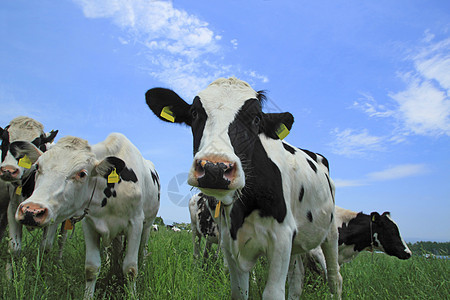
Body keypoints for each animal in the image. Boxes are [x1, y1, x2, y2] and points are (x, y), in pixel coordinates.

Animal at [0, 116, 59, 262]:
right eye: (4, 139)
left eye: (36, 142)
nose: (8, 170)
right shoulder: (13, 208)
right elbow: (14, 249)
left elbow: (45, 247)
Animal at [12, 134, 161, 300]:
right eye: (38, 166)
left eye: (82, 173)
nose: (31, 211)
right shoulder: (89, 224)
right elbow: (91, 268)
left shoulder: (135, 223)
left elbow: (130, 269)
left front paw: (132, 294)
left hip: (147, 226)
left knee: (143, 251)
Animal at [146, 77, 342, 298]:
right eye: (194, 113)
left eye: (256, 119)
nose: (215, 168)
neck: (245, 208)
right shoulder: (230, 243)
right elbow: (239, 291)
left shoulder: (282, 239)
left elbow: (273, 293)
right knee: (297, 278)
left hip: (330, 233)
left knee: (335, 277)